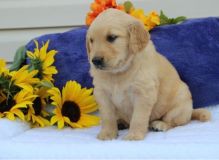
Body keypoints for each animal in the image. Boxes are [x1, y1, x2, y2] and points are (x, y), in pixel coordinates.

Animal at [86, 8, 211, 140]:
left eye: (112, 37)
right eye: (91, 40)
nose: (95, 61)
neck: (119, 72)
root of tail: (191, 111)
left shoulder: (143, 93)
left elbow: (138, 118)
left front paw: (134, 136)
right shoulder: (102, 93)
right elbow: (107, 117)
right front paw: (107, 134)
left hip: (180, 105)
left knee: (174, 122)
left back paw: (160, 124)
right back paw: (120, 122)